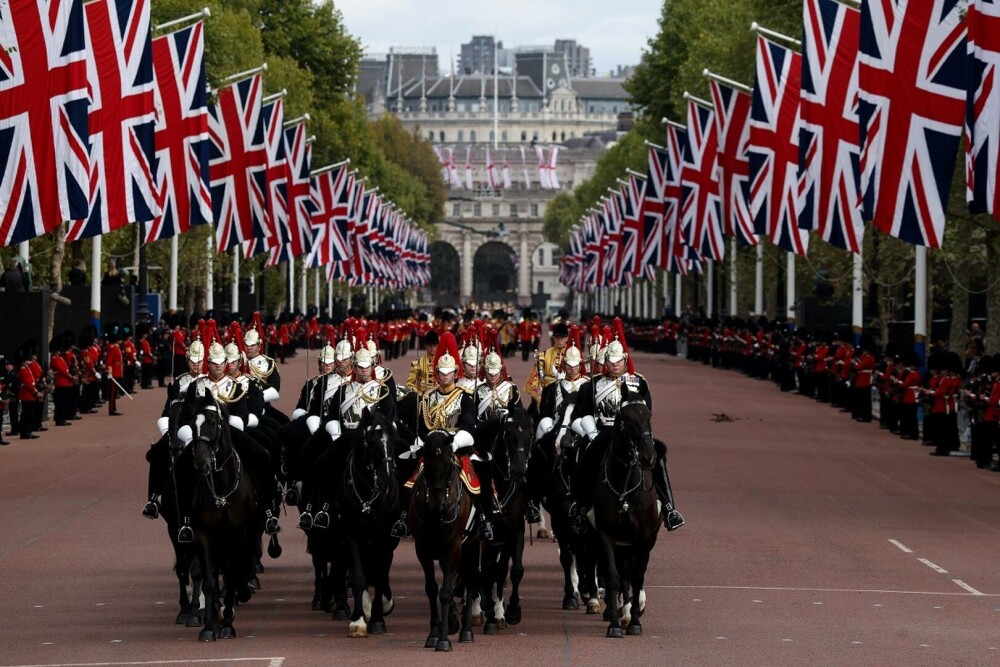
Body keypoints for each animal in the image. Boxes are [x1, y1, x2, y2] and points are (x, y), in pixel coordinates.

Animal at [173, 392, 264, 640]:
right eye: (192, 425)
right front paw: (209, 626)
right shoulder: (205, 537)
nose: (201, 464)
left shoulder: (237, 537)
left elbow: (231, 577)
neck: (222, 491)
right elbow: (210, 582)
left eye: (214, 423)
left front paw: (228, 625)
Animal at [334, 410, 400, 640]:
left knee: (384, 566)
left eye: (393, 440)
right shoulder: (352, 534)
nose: (388, 484)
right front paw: (358, 620)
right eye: (370, 442)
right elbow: (358, 576)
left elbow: (380, 574)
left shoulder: (384, 535)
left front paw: (378, 619)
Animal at [410, 428, 480, 652]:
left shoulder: (453, 547)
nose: (436, 504)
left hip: (473, 543)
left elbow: (446, 592)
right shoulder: (422, 549)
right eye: (426, 461)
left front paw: (443, 640)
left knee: (471, 580)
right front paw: (434, 633)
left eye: (449, 464)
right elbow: (432, 589)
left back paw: (466, 630)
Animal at [584, 384, 664, 640]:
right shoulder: (606, 534)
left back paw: (630, 610)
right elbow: (613, 576)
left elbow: (637, 576)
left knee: (632, 573)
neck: (624, 485)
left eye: (648, 415)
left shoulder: (643, 536)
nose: (648, 457)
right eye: (626, 418)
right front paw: (615, 625)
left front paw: (635, 621)